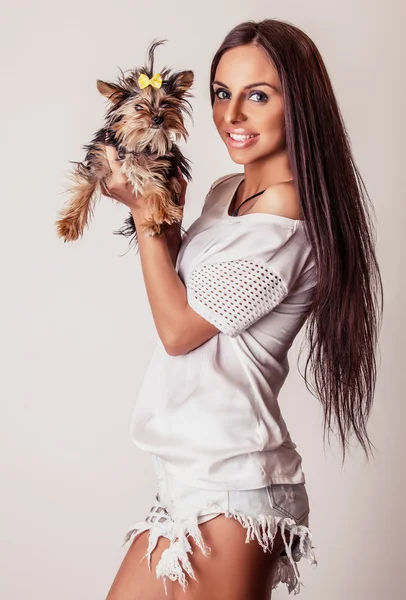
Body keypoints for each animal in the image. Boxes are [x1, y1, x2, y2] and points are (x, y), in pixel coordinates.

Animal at [55, 38, 193, 248]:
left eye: (166, 104)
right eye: (138, 107)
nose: (157, 118)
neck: (139, 142)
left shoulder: (160, 165)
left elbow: (156, 186)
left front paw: (161, 214)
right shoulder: (100, 161)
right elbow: (85, 187)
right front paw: (69, 224)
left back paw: (154, 223)